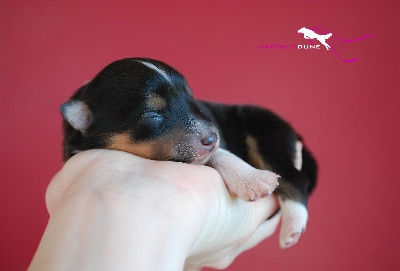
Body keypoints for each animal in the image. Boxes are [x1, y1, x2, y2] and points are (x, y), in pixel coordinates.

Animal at [60, 58, 316, 250]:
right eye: (153, 115)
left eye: (191, 100)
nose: (213, 137)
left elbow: (222, 155)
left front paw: (252, 180)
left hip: (265, 131)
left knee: (296, 179)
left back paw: (292, 227)